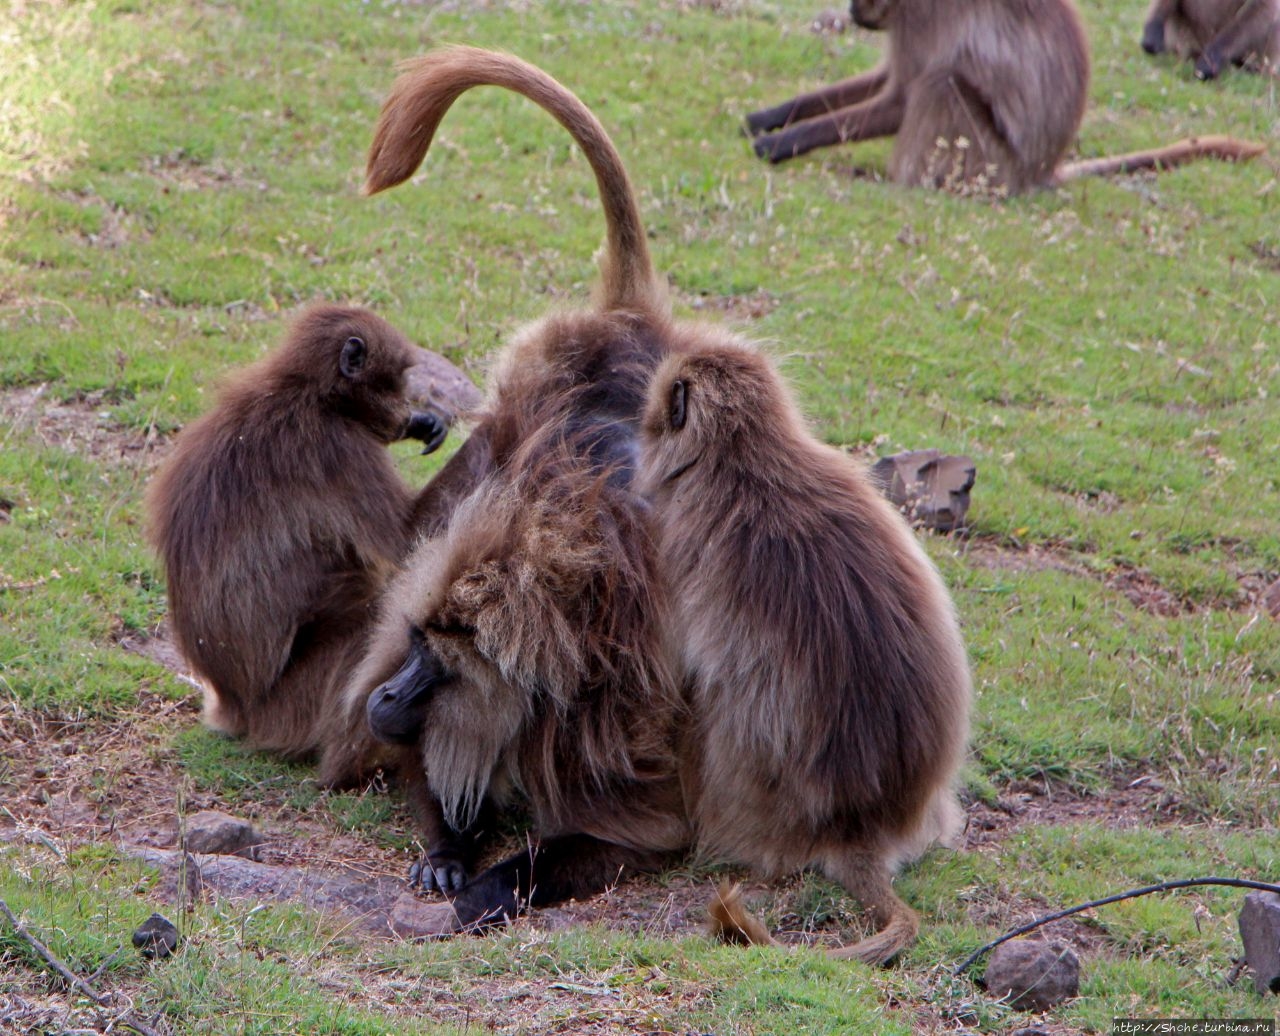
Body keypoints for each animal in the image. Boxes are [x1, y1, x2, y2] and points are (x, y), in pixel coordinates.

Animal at [747, 0, 1264, 189]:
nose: (854, 11)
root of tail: (1042, 169)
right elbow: (885, 82)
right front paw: (769, 116)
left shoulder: (922, 18)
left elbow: (900, 99)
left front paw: (779, 143)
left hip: (990, 162)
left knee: (942, 84)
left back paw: (897, 179)